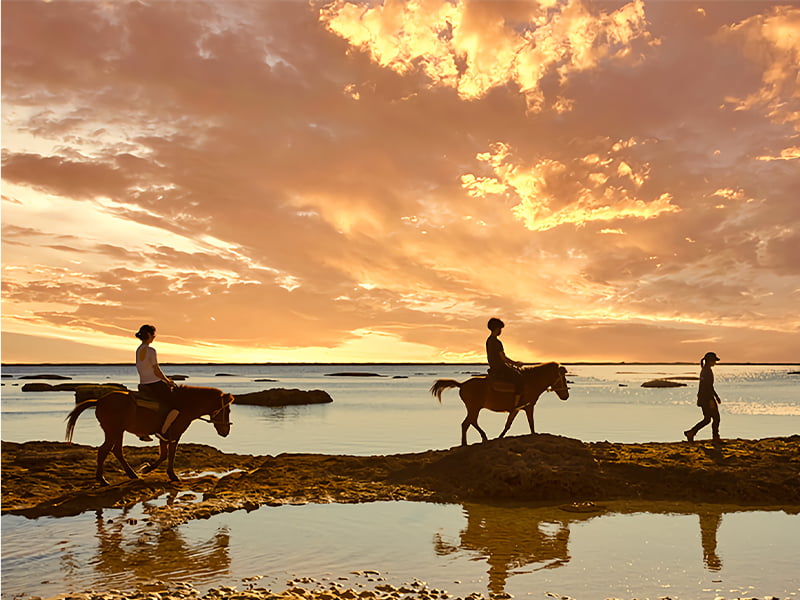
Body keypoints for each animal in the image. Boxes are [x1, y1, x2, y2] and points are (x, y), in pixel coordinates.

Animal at [64, 384, 233, 488]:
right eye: (228, 410)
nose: (226, 432)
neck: (185, 405)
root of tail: (99, 400)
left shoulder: (164, 436)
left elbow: (164, 455)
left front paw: (147, 469)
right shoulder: (175, 434)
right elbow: (170, 455)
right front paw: (172, 475)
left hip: (118, 431)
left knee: (116, 451)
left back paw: (131, 474)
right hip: (113, 431)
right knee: (104, 451)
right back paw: (103, 480)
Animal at [432, 360, 568, 446]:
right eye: (563, 378)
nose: (566, 396)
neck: (532, 381)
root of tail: (462, 385)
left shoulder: (517, 409)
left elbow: (508, 424)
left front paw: (500, 437)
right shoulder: (528, 407)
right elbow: (531, 423)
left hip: (474, 408)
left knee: (471, 422)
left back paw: (483, 437)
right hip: (474, 408)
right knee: (466, 423)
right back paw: (466, 443)